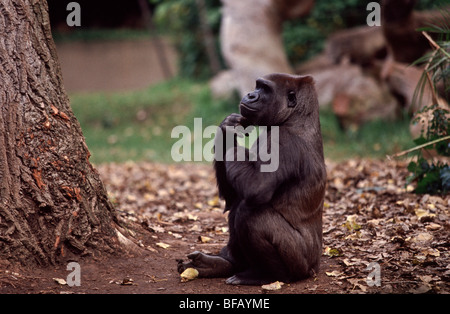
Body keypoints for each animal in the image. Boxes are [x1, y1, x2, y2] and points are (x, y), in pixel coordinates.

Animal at [177, 73, 326, 284]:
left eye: (265, 89)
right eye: (257, 86)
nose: (250, 94)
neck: (295, 118)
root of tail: (315, 267)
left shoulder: (284, 143)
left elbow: (257, 188)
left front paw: (231, 136)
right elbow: (232, 198)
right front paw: (226, 128)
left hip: (302, 267)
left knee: (250, 213)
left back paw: (267, 275)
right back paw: (222, 264)